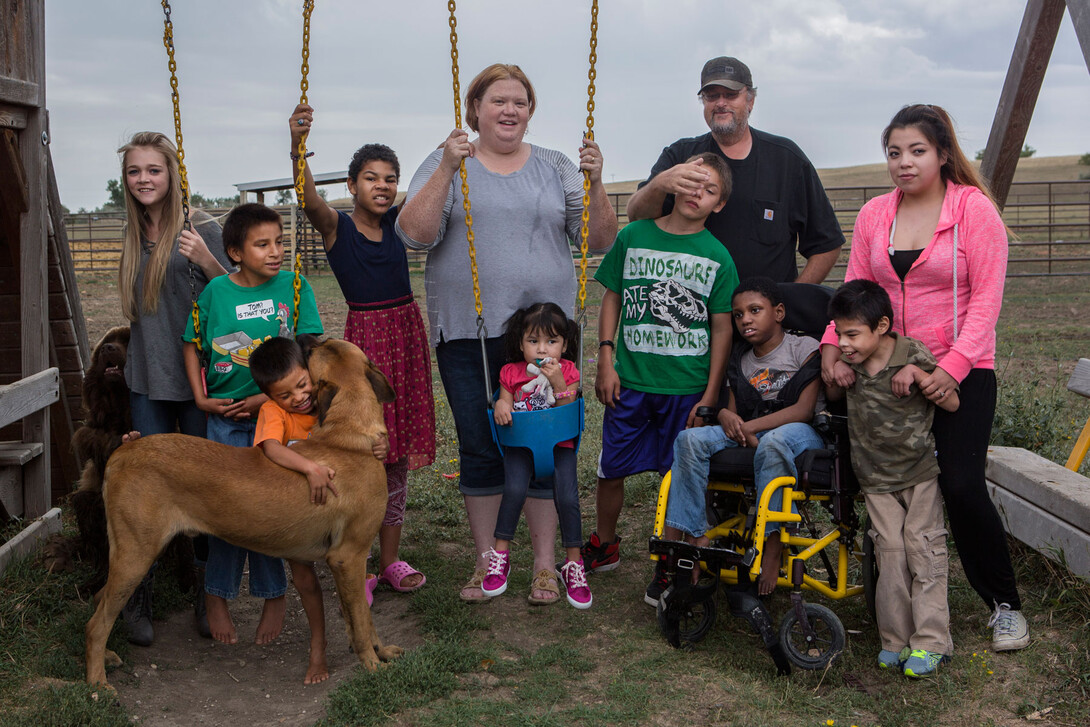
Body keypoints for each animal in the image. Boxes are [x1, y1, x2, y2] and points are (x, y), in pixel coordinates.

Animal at [83, 337, 401, 684]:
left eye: (321, 345)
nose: (303, 339)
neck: (348, 433)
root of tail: (122, 452)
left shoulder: (349, 561)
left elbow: (361, 618)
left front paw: (380, 651)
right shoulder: (348, 557)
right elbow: (361, 619)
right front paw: (372, 664)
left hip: (129, 558)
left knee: (97, 605)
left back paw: (106, 658)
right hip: (136, 557)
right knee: (97, 623)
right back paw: (98, 682)